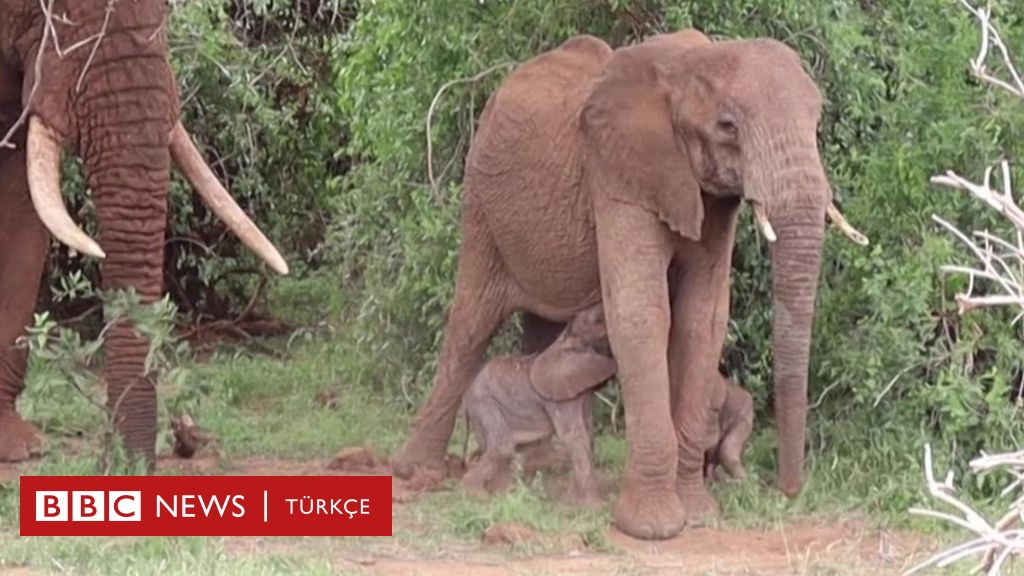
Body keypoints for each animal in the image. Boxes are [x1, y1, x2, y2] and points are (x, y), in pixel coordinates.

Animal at [391, 28, 864, 537]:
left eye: (816, 124)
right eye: (728, 126)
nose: (787, 492)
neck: (694, 64)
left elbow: (704, 320)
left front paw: (698, 514)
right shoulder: (617, 175)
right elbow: (642, 311)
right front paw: (652, 528)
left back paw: (541, 466)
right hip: (482, 205)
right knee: (471, 322)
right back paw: (417, 471)